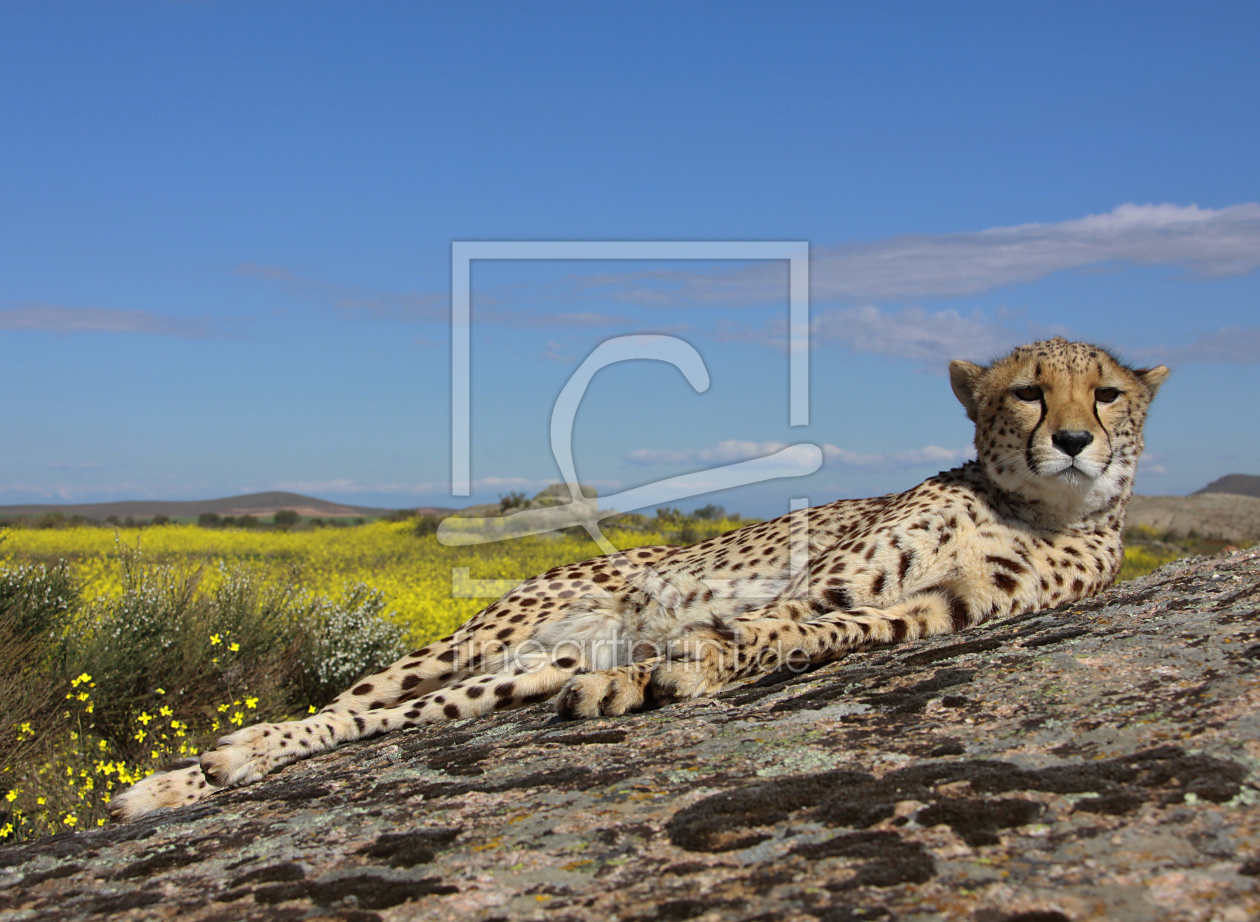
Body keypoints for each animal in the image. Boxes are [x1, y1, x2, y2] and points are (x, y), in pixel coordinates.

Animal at [113, 337, 1164, 821]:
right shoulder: (827, 579)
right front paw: (663, 671)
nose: (1076, 440)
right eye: (1026, 392)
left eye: (1107, 394)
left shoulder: (936, 610)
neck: (1032, 509)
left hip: (521, 669)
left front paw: (669, 675)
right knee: (346, 702)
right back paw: (187, 777)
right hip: (481, 638)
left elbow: (805, 635)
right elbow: (764, 621)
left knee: (398, 717)